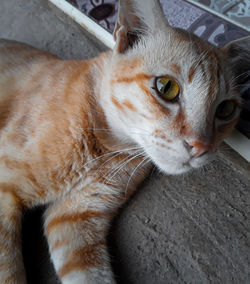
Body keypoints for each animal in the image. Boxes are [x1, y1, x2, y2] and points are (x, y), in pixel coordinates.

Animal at [0, 0, 250, 284]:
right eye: (167, 87)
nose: (201, 147)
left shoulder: (76, 218)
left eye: (225, 109)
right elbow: (9, 274)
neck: (104, 146)